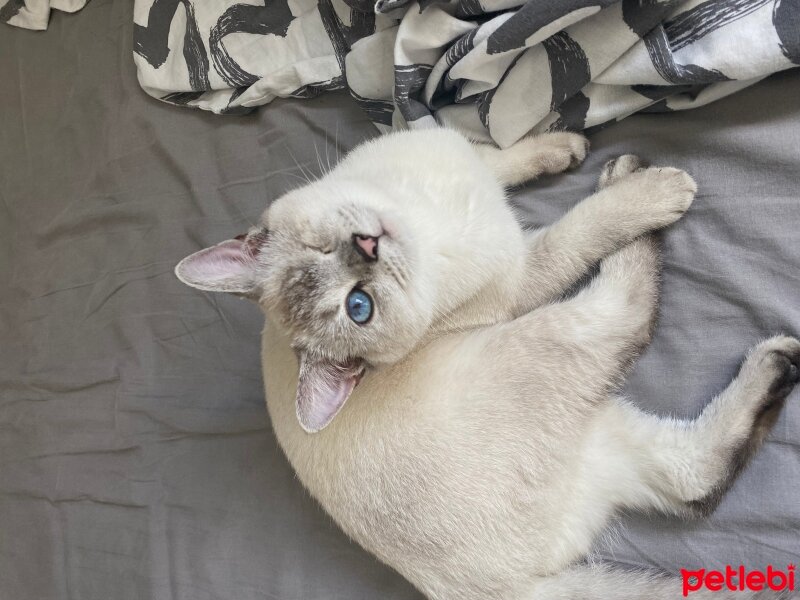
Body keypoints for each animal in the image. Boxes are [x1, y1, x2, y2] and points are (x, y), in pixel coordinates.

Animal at [177, 129, 800, 596]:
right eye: (359, 307)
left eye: (322, 249)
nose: (367, 245)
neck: (425, 218)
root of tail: (507, 588)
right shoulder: (527, 271)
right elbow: (586, 228)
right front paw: (651, 189)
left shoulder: (457, 150)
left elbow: (506, 154)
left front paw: (566, 146)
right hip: (551, 337)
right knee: (632, 320)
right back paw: (637, 179)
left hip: (608, 436)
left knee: (690, 480)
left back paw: (778, 363)